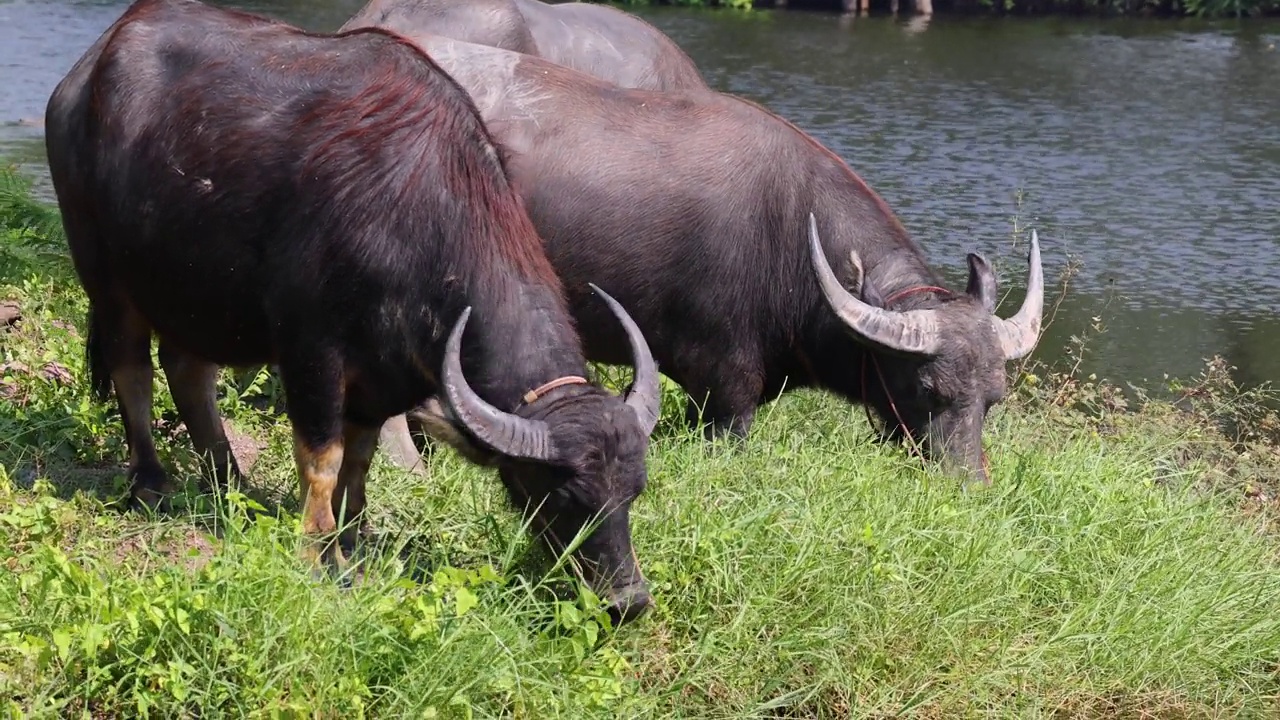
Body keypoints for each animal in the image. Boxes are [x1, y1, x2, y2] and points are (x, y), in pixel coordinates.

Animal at [42, 0, 660, 620]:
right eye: (563, 494)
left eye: (633, 491)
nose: (627, 600)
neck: (412, 213)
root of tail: (85, 72)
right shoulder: (311, 351)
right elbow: (323, 455)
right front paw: (320, 555)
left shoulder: (382, 377)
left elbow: (359, 458)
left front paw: (356, 539)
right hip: (106, 275)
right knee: (132, 370)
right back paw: (150, 482)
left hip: (192, 292)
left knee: (189, 370)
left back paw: (231, 484)